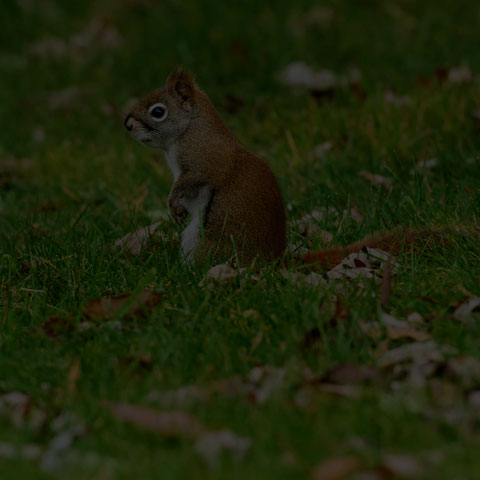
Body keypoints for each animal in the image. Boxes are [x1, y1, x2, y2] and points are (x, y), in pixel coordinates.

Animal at [124, 69, 450, 268]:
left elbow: (192, 180)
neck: (189, 131)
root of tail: (272, 263)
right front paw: (176, 209)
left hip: (209, 240)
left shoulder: (204, 160)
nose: (126, 124)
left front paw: (173, 203)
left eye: (158, 111)